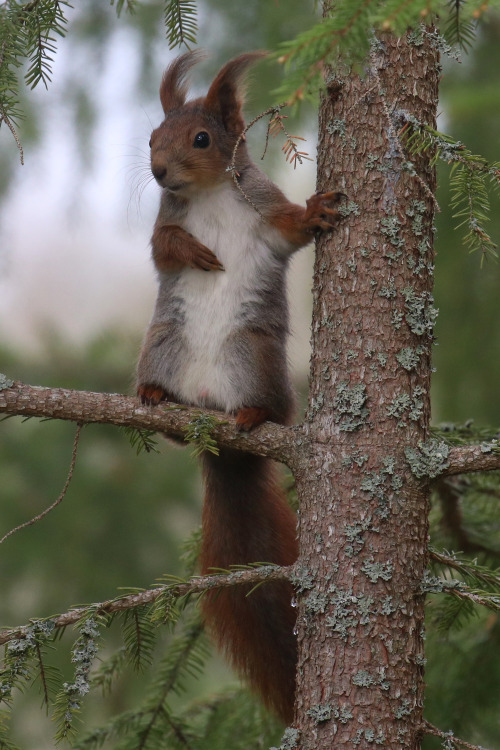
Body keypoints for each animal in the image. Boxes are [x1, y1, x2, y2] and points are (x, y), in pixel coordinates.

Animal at [135, 51, 342, 724]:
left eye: (202, 139)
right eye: (152, 136)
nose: (158, 173)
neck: (206, 195)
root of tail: (211, 415)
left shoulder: (264, 214)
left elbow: (290, 230)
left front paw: (317, 210)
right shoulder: (164, 222)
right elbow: (162, 248)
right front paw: (191, 249)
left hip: (252, 354)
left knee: (272, 407)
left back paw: (253, 417)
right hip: (162, 343)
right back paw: (154, 399)